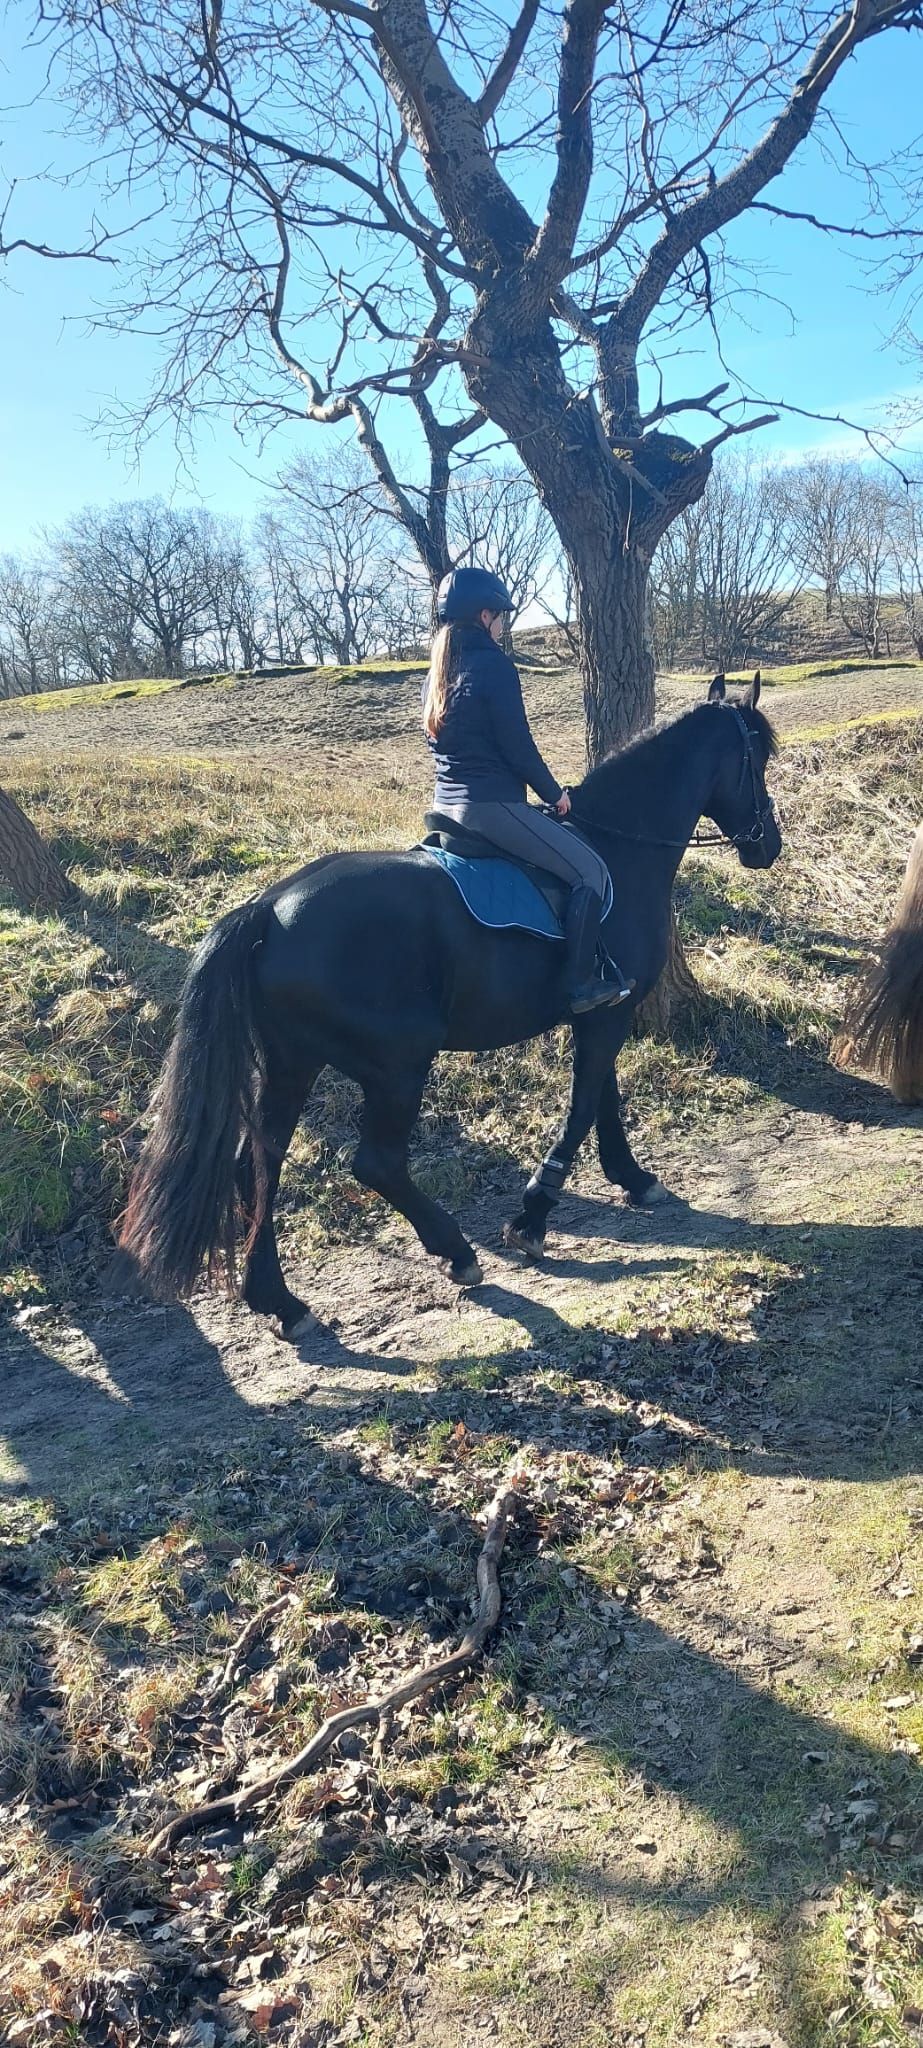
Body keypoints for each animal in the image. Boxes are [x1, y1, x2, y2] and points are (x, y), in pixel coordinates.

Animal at [118, 674, 781, 1331]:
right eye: (759, 759)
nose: (768, 847)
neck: (618, 850)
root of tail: (268, 909)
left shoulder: (599, 1014)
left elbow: (603, 1102)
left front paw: (633, 1179)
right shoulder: (605, 1016)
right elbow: (583, 1108)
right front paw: (532, 1217)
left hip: (290, 1066)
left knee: (257, 1163)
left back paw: (279, 1301)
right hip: (396, 1066)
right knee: (376, 1164)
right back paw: (456, 1251)